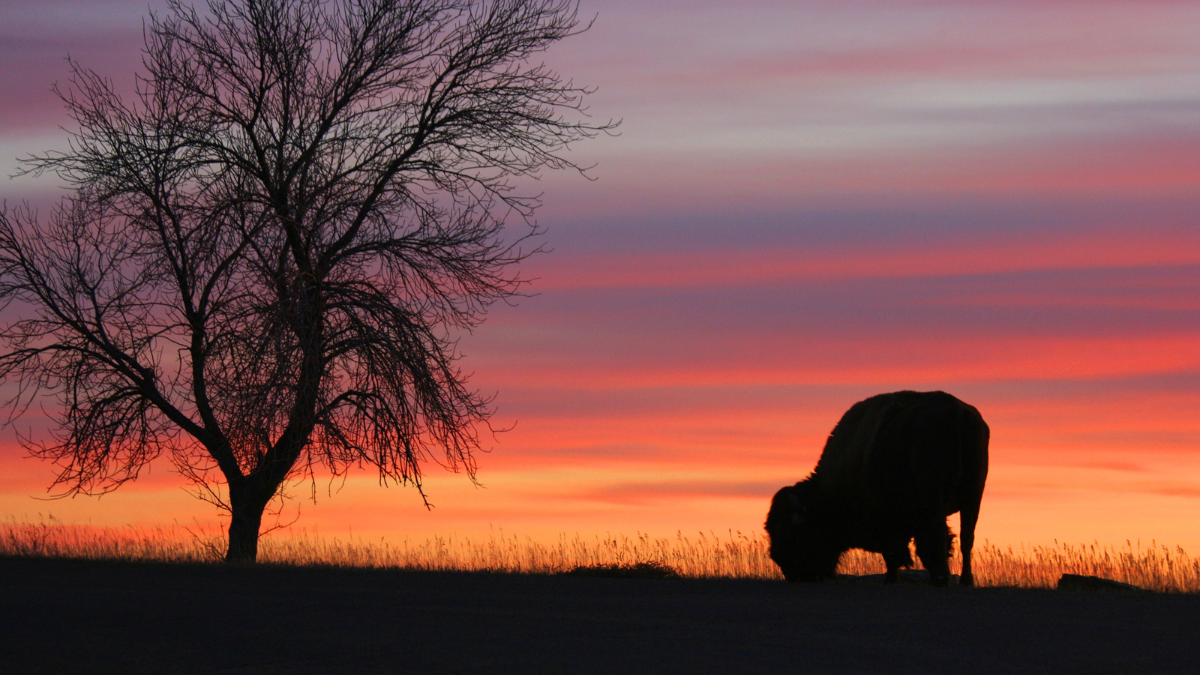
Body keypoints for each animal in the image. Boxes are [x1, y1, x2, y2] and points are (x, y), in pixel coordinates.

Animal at [765, 390, 989, 587]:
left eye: (788, 532)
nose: (792, 573)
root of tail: (956, 411)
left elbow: (893, 550)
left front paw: (891, 579)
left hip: (935, 498)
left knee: (939, 534)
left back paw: (941, 579)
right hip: (973, 496)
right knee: (966, 538)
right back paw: (965, 581)